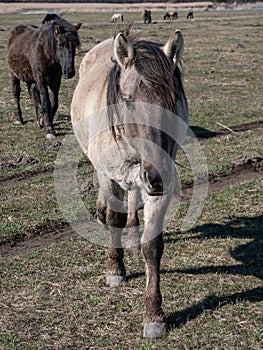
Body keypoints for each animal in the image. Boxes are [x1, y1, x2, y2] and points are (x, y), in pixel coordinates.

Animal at [71, 28, 189, 338]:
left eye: (173, 100)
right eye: (127, 99)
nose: (156, 175)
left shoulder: (159, 186)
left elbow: (153, 246)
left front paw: (154, 315)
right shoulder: (111, 176)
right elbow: (114, 218)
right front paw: (115, 270)